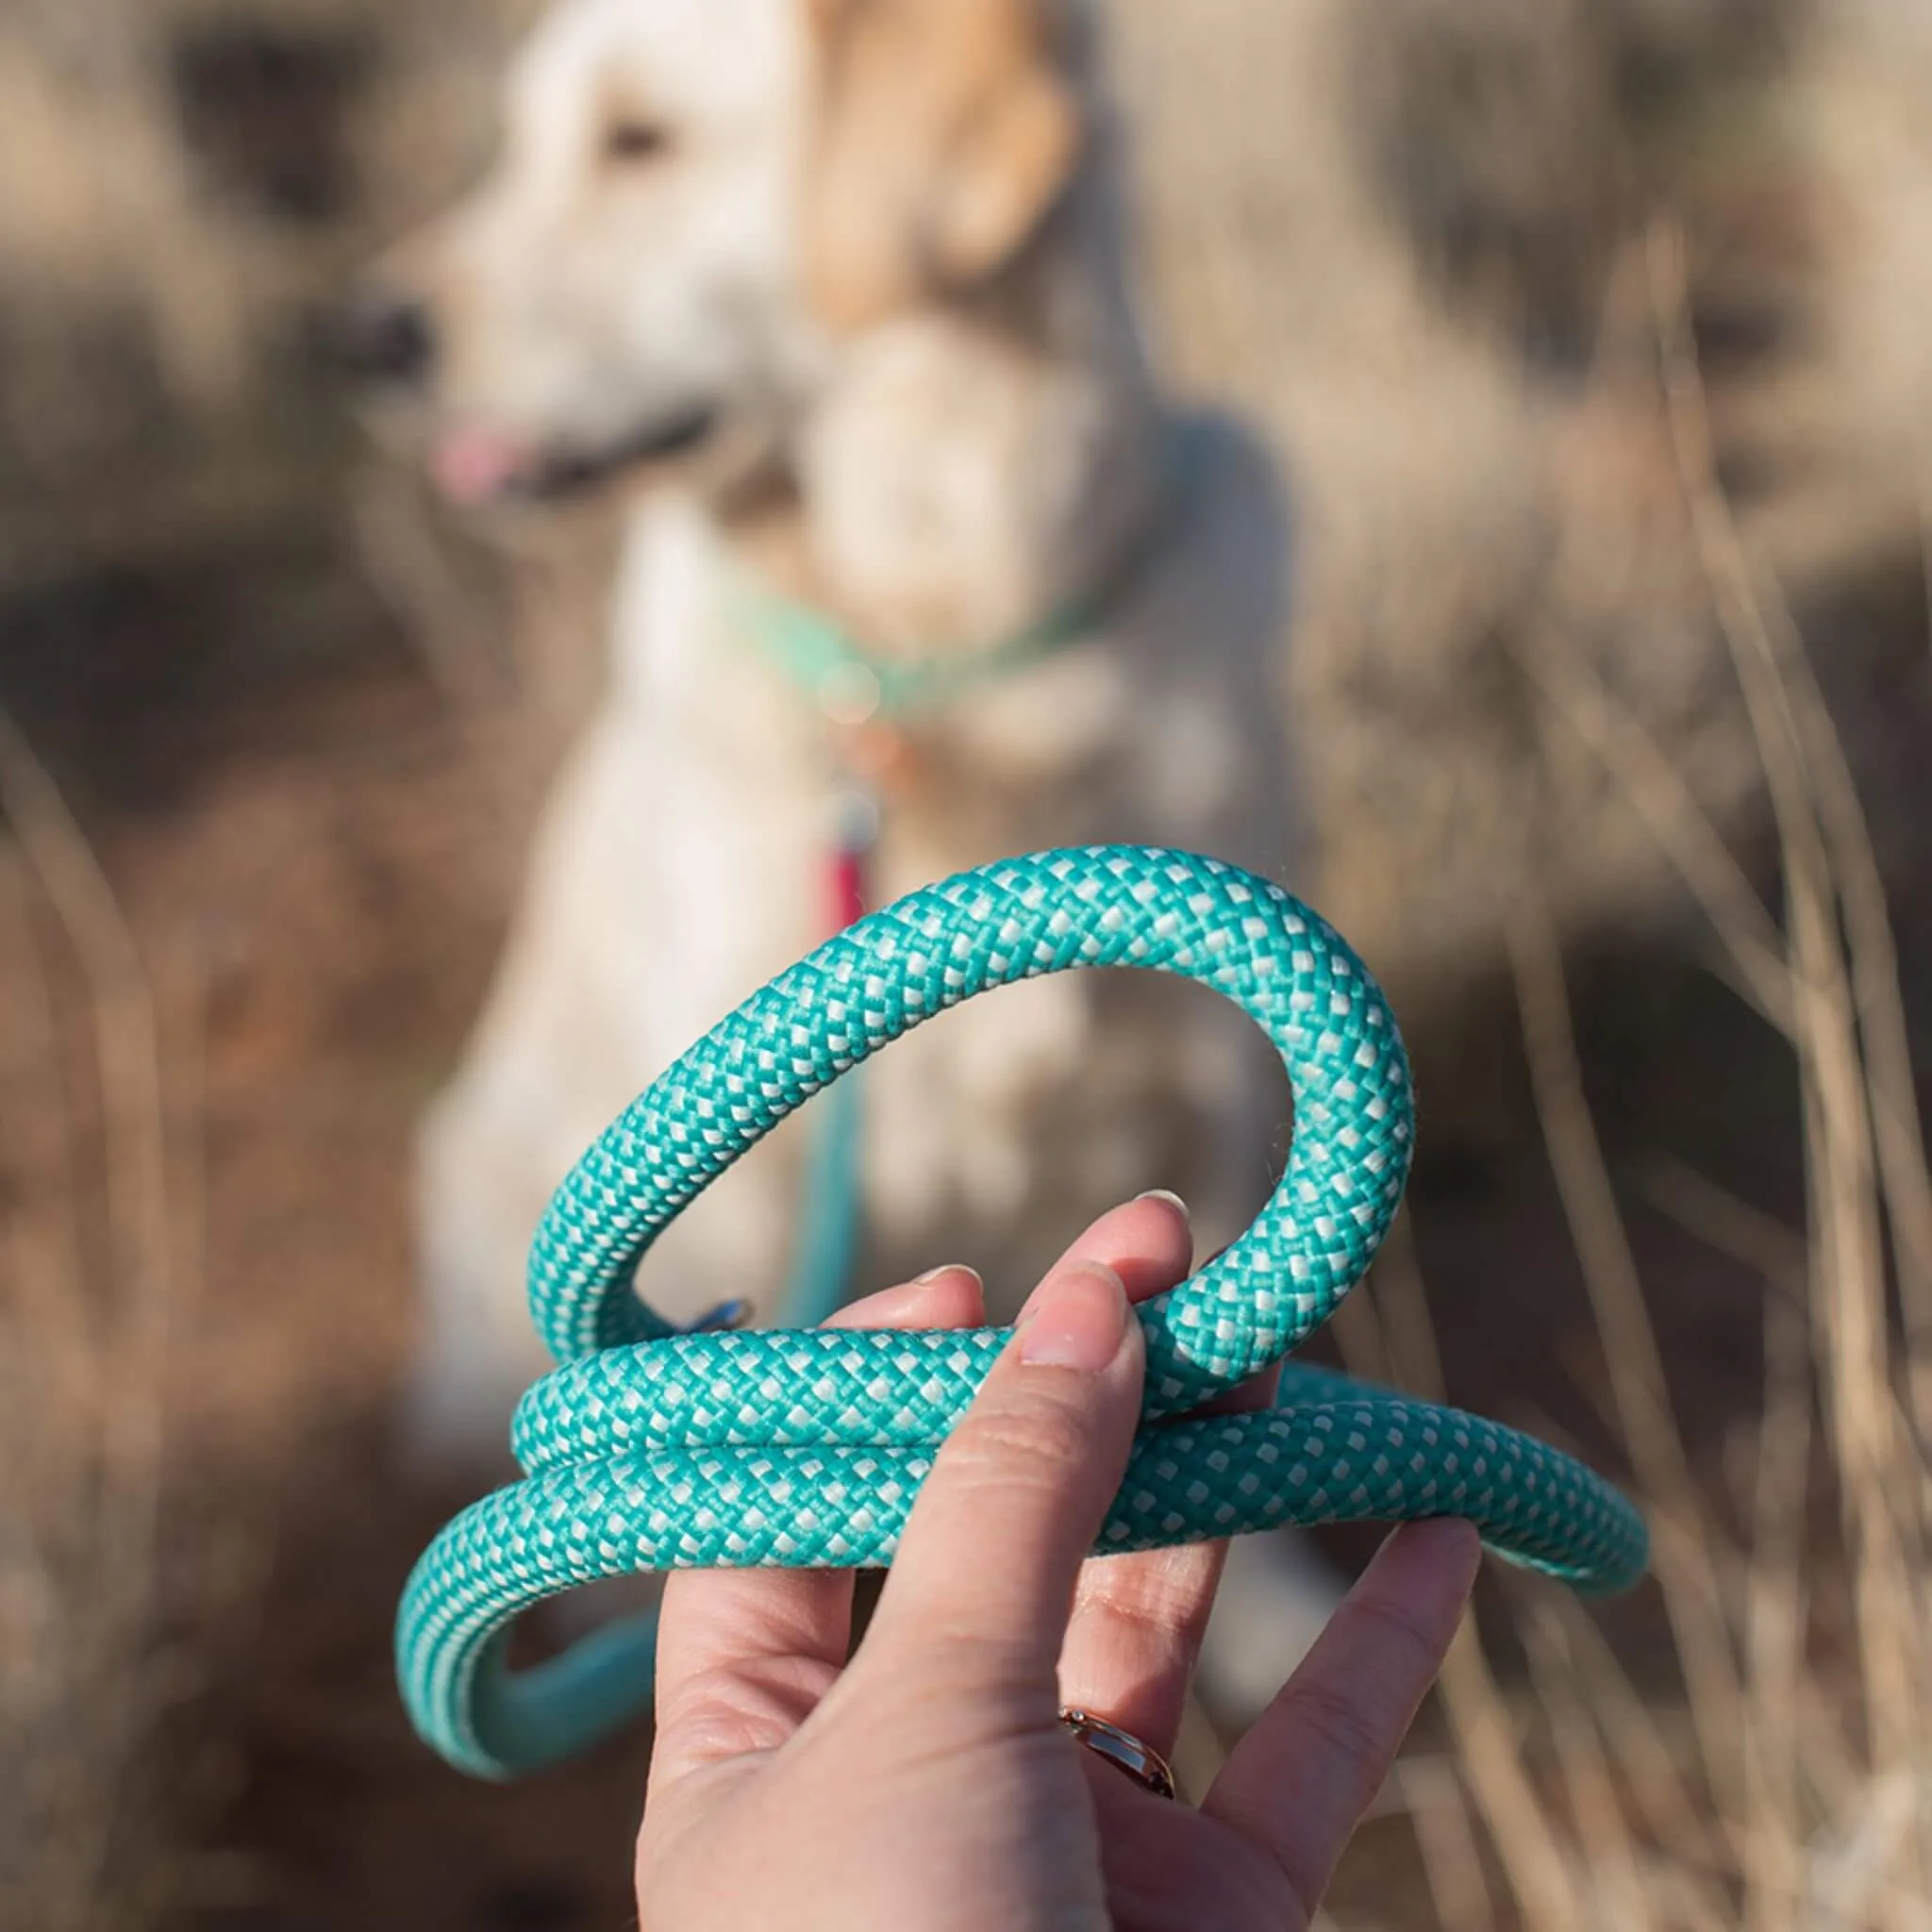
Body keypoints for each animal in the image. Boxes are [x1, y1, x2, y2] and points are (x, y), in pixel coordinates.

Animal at [347, 0, 1337, 1707]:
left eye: (639, 141)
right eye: (523, 138)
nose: (371, 336)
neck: (937, 643)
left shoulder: (1206, 1077)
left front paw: (1268, 1621)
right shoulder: (770, 1180)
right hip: (483, 1152)